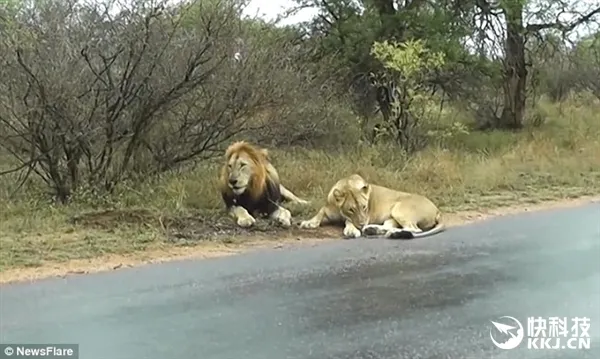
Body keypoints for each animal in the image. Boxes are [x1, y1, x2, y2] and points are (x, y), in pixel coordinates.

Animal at [300, 174, 446, 240]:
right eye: (351, 209)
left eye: (364, 207)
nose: (362, 224)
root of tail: (438, 210)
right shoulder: (328, 207)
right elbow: (320, 212)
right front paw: (308, 223)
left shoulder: (366, 216)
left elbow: (348, 221)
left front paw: (351, 230)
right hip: (392, 216)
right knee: (389, 226)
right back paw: (372, 230)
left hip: (399, 209)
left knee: (415, 229)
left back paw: (391, 233)